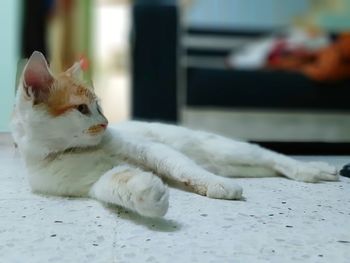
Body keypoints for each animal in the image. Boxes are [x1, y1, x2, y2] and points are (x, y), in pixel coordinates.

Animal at [12, 51, 340, 219]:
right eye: (82, 109)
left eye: (99, 107)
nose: (105, 123)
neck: (70, 151)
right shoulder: (92, 183)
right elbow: (117, 184)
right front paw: (148, 194)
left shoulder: (151, 150)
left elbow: (182, 168)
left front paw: (216, 186)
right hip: (237, 164)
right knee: (269, 166)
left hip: (227, 151)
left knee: (276, 157)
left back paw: (314, 169)